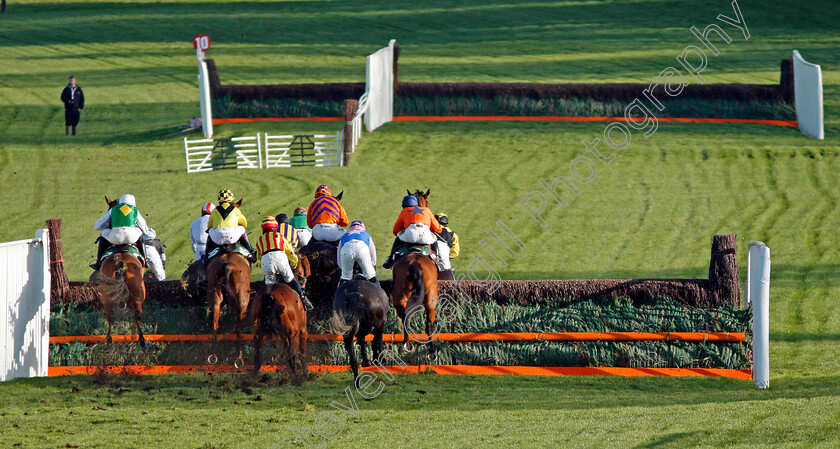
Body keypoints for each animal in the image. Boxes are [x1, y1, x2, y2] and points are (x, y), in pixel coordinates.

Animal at [90, 195, 148, 346]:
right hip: (135, 296)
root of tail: (121, 264)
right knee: (135, 315)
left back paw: (111, 339)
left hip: (108, 297)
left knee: (112, 316)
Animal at [206, 198, 253, 366]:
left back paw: (212, 355)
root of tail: (227, 265)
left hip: (214, 296)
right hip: (243, 297)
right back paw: (239, 357)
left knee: (214, 324)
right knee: (239, 326)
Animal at [388, 189, 440, 360]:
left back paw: (408, 343)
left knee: (405, 315)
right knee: (428, 323)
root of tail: (416, 264)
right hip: (431, 297)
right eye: (428, 203)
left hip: (399, 296)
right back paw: (431, 351)